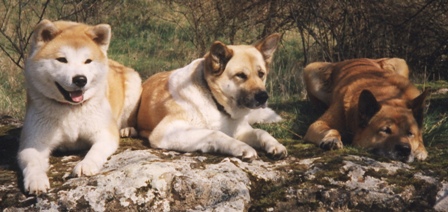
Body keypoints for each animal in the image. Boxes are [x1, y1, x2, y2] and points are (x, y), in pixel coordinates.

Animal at [18, 19, 142, 194]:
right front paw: (36, 180)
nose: (80, 79)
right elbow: (32, 162)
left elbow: (95, 151)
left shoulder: (104, 133)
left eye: (87, 61)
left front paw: (86, 164)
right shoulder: (33, 141)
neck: (70, 109)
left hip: (133, 85)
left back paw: (127, 129)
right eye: (62, 59)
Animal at [137, 33, 288, 161]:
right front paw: (241, 146)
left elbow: (260, 132)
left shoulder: (241, 130)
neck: (215, 101)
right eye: (240, 75)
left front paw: (275, 145)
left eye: (261, 74)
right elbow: (214, 133)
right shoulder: (166, 132)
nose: (264, 97)